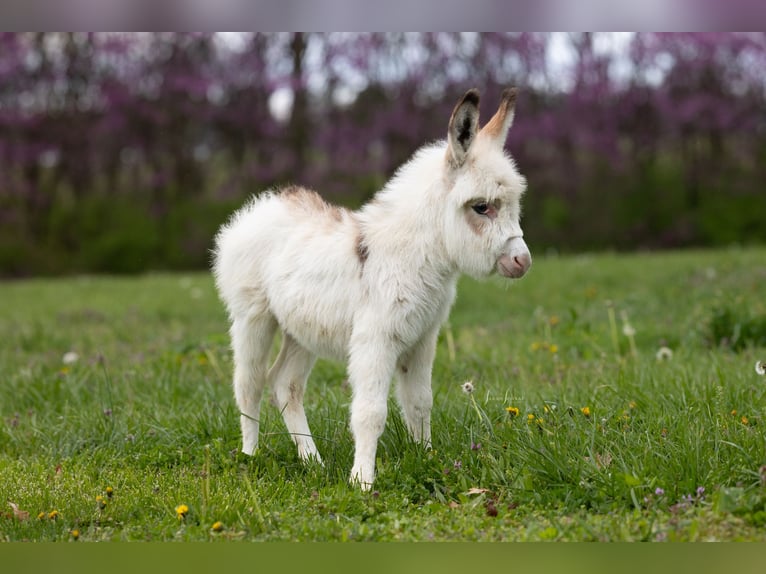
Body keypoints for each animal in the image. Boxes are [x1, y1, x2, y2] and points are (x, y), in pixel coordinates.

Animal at [213, 86, 532, 490]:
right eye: (482, 207)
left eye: (513, 204)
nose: (523, 261)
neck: (414, 256)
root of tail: (261, 206)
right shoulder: (375, 340)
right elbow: (370, 412)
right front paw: (362, 481)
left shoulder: (422, 338)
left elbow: (420, 401)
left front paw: (426, 459)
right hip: (252, 317)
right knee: (249, 384)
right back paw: (250, 456)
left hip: (301, 329)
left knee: (285, 385)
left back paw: (312, 462)